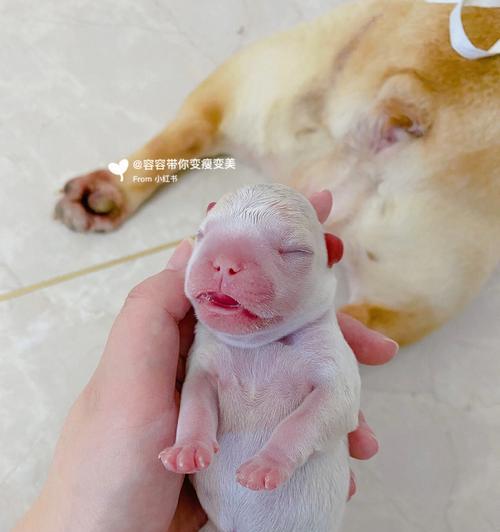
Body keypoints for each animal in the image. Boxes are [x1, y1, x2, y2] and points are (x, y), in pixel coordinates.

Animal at [160, 184, 360, 532]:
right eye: (202, 234)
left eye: (294, 251)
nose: (225, 261)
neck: (257, 345)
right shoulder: (203, 366)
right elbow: (194, 405)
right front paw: (187, 448)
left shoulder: (334, 370)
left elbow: (307, 418)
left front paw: (266, 464)